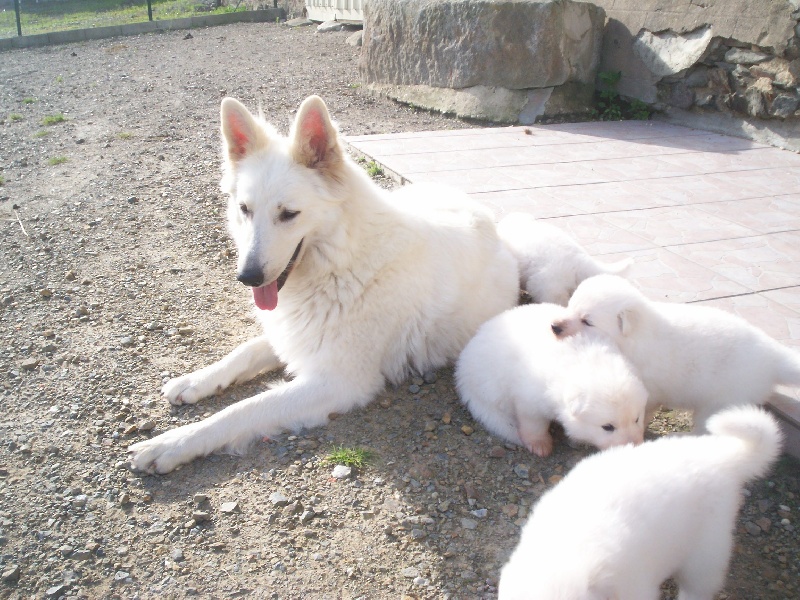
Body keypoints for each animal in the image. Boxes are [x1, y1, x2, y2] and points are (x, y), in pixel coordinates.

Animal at [130, 95, 520, 474]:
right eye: (245, 210)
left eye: (288, 214)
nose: (247, 277)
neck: (342, 261)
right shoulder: (296, 331)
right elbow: (244, 351)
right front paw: (196, 380)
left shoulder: (337, 381)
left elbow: (244, 409)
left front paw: (172, 444)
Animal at [454, 302, 648, 458]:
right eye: (607, 427)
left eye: (637, 419)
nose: (635, 446)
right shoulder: (529, 400)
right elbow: (534, 424)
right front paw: (539, 444)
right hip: (490, 387)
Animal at [552, 274, 800, 428]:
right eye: (570, 306)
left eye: (587, 321)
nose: (554, 327)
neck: (635, 337)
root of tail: (773, 356)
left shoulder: (648, 388)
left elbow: (645, 409)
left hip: (720, 402)